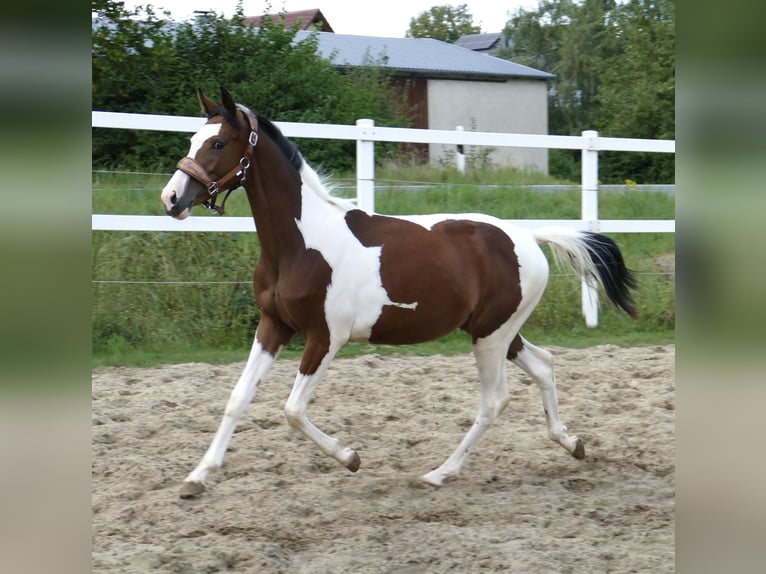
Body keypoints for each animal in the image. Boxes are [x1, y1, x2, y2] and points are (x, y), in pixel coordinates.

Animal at [160, 87, 637, 498]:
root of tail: (528, 238)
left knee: (494, 401)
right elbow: (237, 398)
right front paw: (197, 478)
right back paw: (572, 443)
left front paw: (351, 457)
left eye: (218, 143)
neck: (301, 244)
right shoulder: (273, 326)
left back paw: (440, 473)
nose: (172, 198)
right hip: (496, 331)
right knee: (544, 365)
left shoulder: (325, 338)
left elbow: (292, 410)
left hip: (491, 337)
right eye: (192, 139)